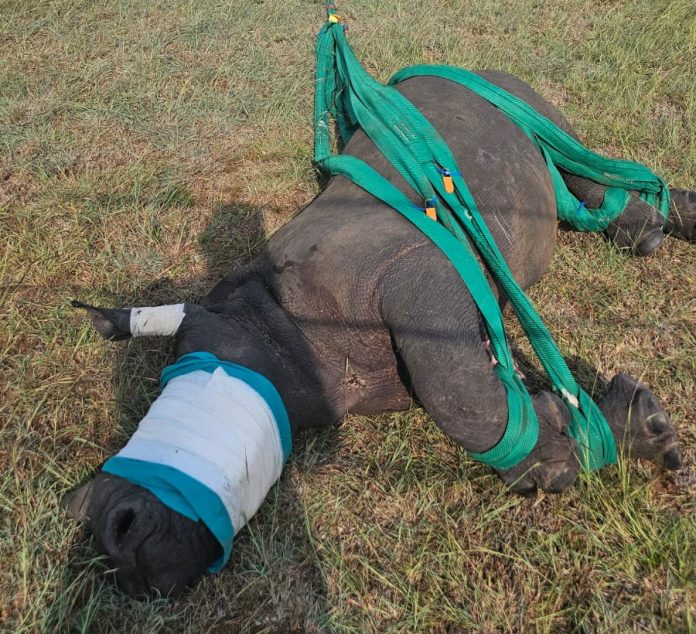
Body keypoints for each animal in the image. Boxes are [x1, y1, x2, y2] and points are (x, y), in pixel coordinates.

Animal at [63, 71, 694, 598]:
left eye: (186, 363)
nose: (103, 524)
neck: (272, 323)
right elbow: (476, 386)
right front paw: (594, 432)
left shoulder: (414, 271)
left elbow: (459, 398)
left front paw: (602, 443)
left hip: (524, 103)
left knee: (583, 167)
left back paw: (645, 231)